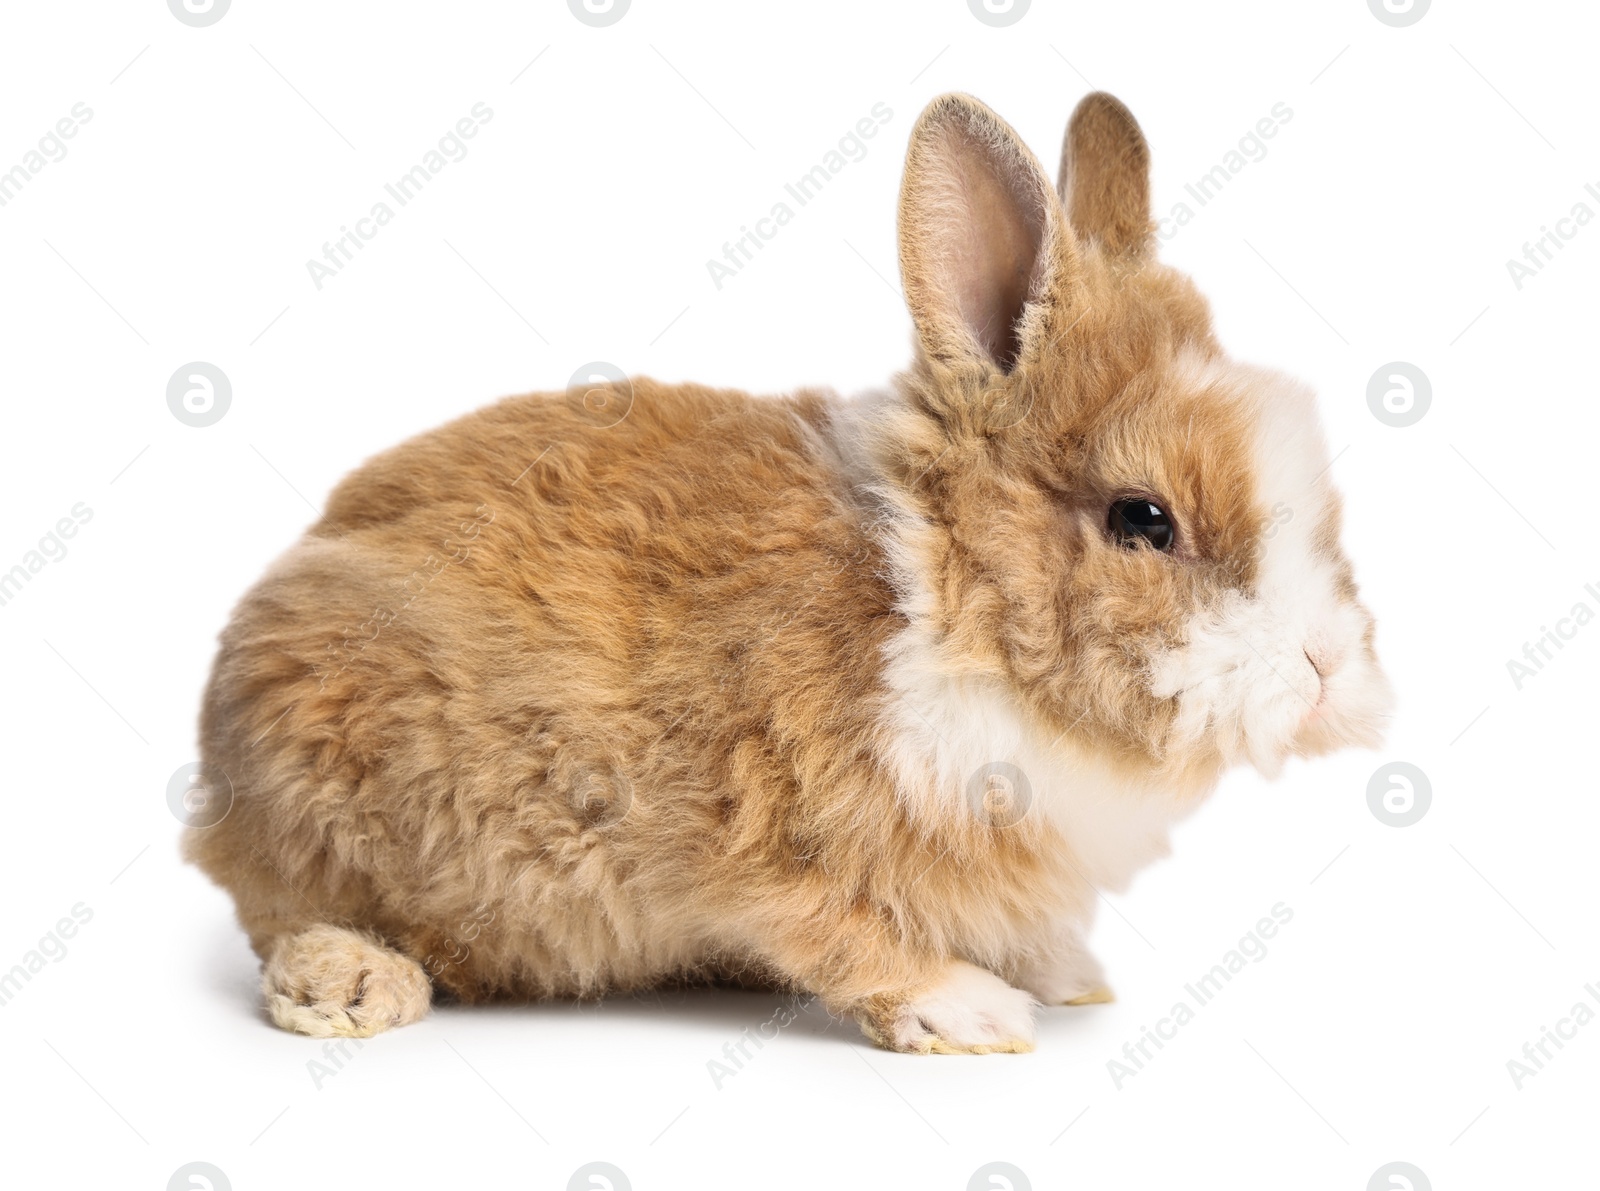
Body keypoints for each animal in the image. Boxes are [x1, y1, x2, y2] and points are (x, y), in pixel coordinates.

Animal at [184, 97, 1388, 1056]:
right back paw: (351, 985)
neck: (940, 602)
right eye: (1144, 519)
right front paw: (970, 1010)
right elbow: (835, 928)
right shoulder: (746, 826)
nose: (1327, 670)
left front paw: (1062, 976)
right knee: (281, 914)